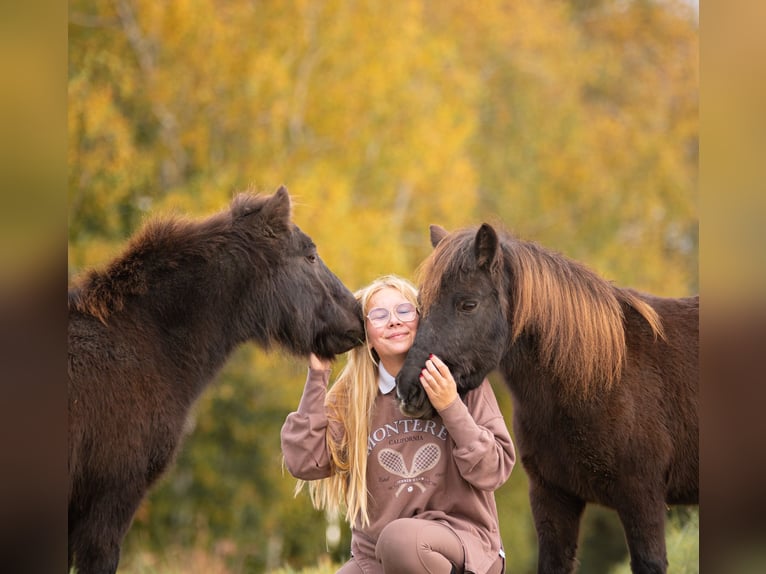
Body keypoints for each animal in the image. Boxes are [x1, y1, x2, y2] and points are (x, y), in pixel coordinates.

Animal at [400, 225, 700, 574]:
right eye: (421, 305)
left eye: (468, 304)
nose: (408, 390)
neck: (599, 378)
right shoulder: (553, 497)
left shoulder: (642, 498)